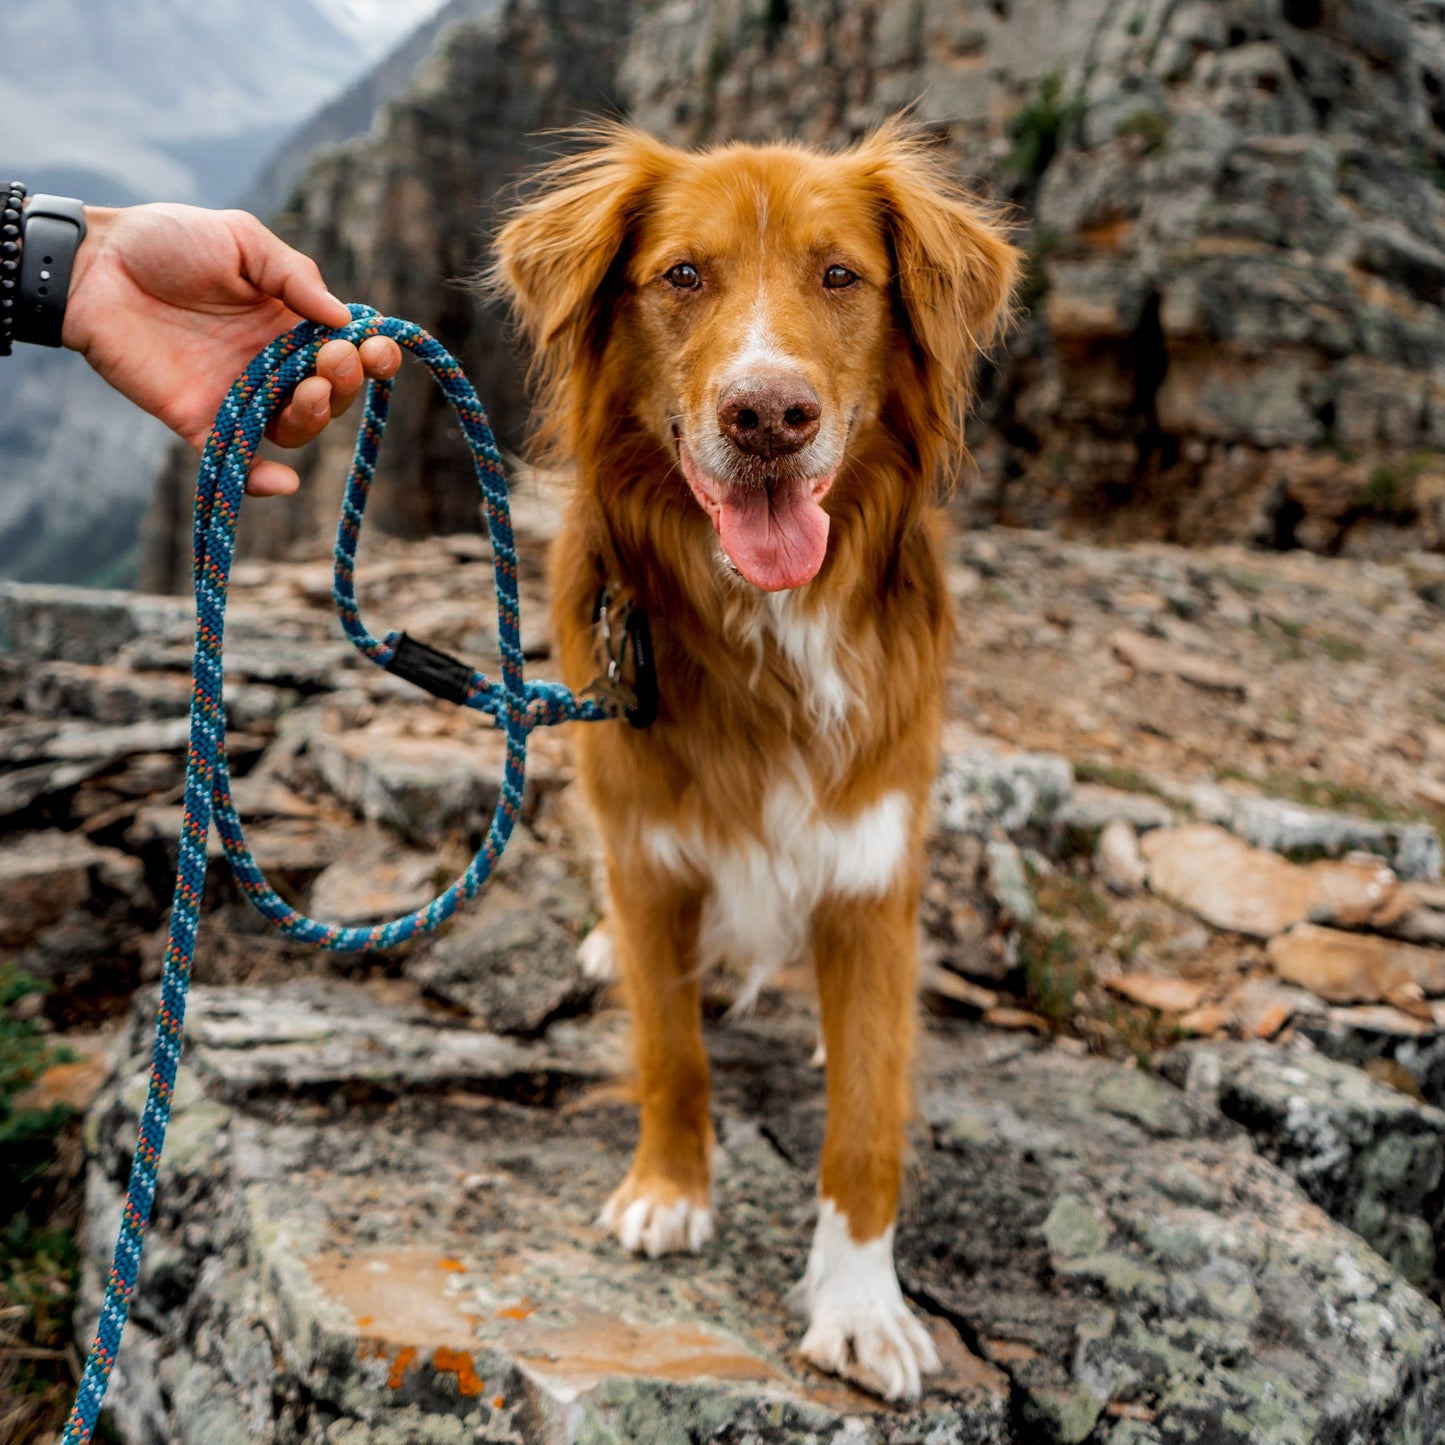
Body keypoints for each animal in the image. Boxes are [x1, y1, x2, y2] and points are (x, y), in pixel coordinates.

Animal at [494, 121, 1017, 1398]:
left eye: (839, 276)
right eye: (682, 275)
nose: (767, 414)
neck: (766, 624)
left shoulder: (872, 868)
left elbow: (867, 1118)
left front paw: (860, 1303)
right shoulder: (646, 849)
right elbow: (668, 1045)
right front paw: (668, 1188)